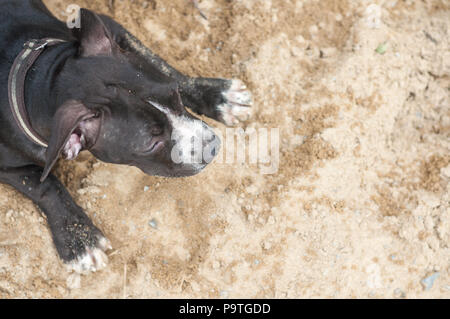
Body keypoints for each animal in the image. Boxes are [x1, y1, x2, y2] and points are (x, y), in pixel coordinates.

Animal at [0, 1, 251, 274]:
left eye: (174, 94)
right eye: (150, 144)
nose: (212, 145)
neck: (37, 76)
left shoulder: (114, 30)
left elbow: (161, 64)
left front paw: (216, 95)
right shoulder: (7, 165)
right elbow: (43, 184)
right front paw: (80, 239)